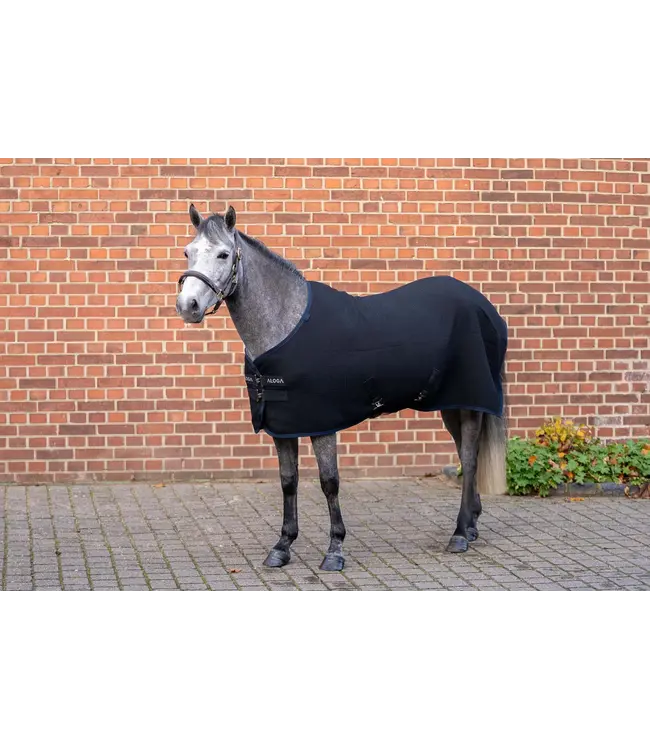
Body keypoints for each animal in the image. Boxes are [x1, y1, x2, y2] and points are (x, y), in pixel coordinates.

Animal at [176, 205, 508, 572]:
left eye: (223, 254)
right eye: (188, 252)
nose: (187, 305)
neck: (285, 325)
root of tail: (483, 305)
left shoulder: (323, 424)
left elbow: (329, 482)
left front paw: (334, 549)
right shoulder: (283, 425)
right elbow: (288, 481)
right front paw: (282, 546)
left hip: (470, 402)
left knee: (470, 458)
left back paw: (460, 533)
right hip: (451, 404)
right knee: (466, 453)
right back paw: (472, 525)